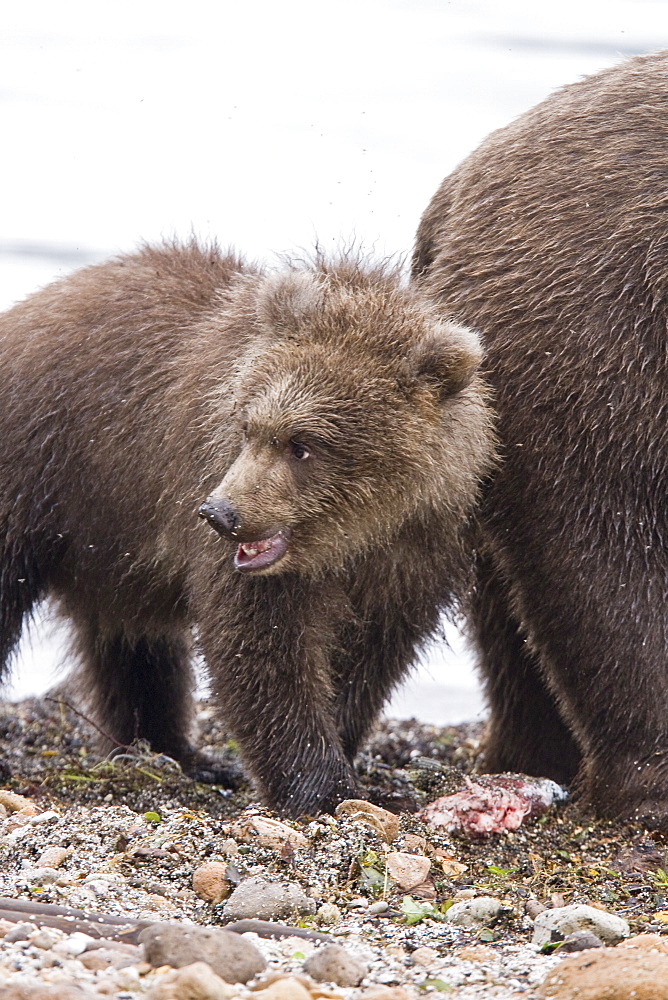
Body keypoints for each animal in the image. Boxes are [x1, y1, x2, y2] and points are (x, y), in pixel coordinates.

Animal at [0, 242, 490, 812]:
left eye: (303, 445)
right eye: (248, 426)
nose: (220, 514)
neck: (356, 534)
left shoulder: (417, 550)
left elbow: (368, 656)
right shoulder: (216, 493)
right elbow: (261, 646)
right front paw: (322, 787)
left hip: (106, 538)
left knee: (134, 643)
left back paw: (173, 751)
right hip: (44, 472)